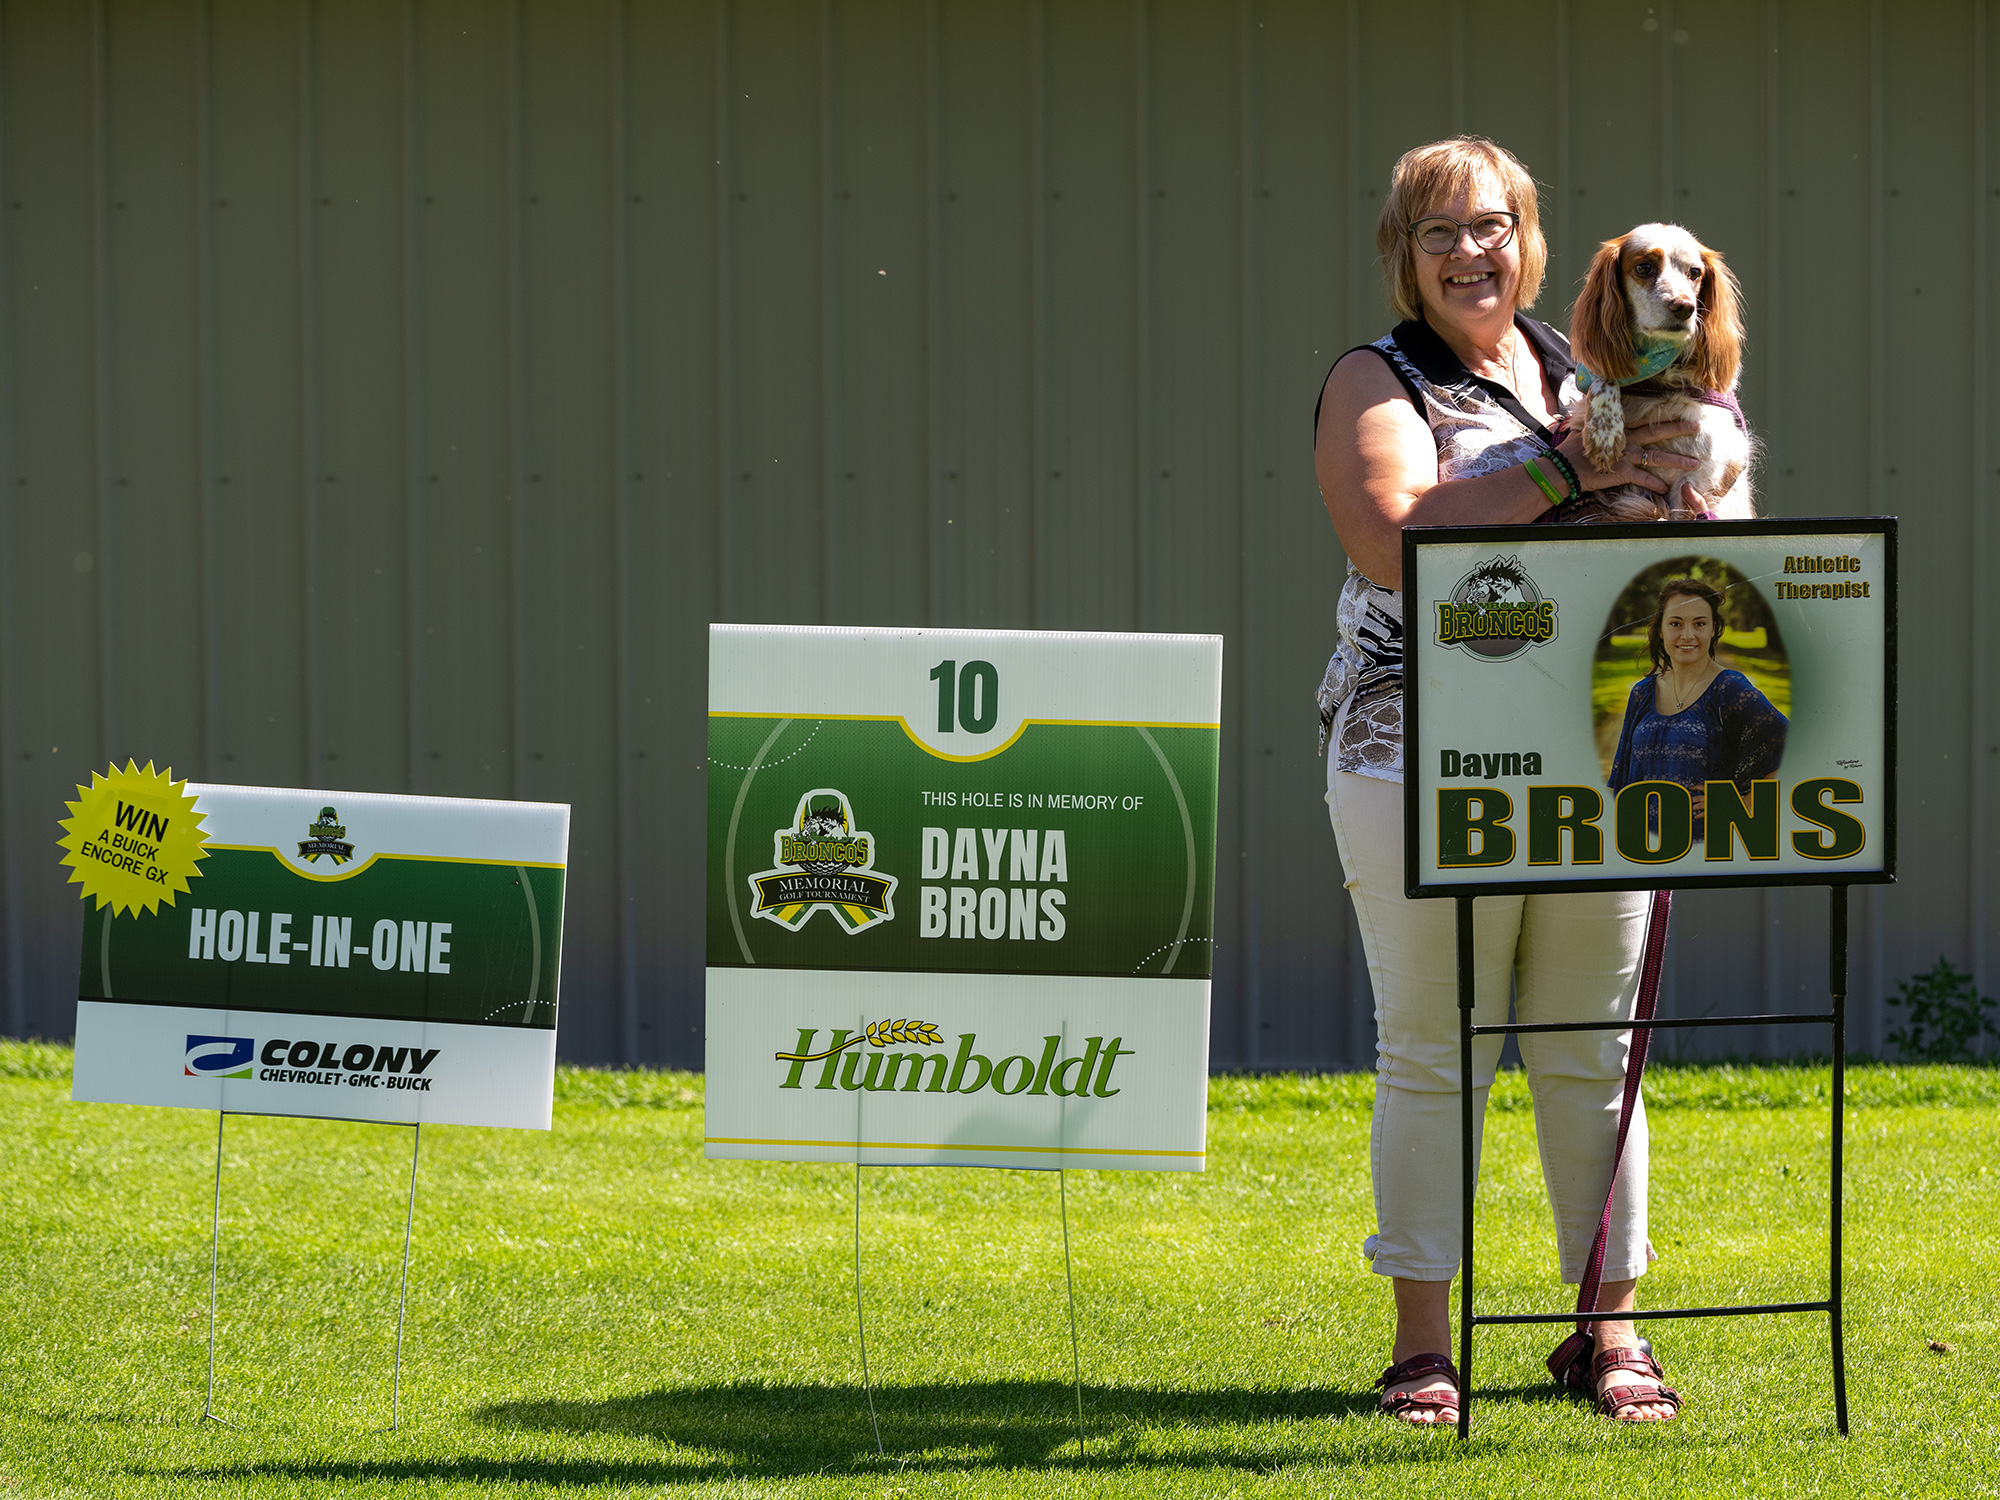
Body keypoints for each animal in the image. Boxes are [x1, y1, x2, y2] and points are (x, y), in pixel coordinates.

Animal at [1563, 223, 1755, 523]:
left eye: (1695, 272)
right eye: (1644, 268)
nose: (1685, 307)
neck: (1659, 380)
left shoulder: (1694, 482)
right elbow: (1603, 375)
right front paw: (1604, 434)